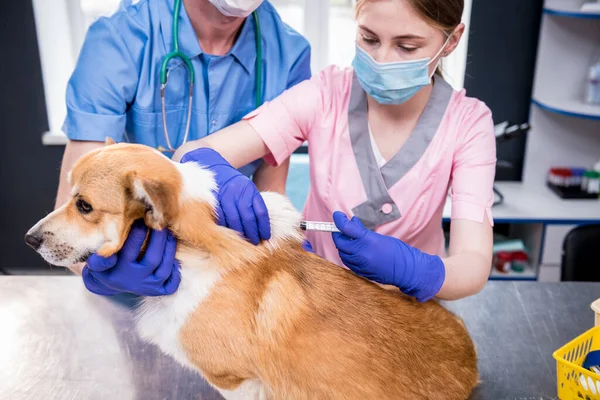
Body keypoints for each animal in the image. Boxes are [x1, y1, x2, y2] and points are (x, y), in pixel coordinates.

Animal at [25, 140, 478, 400]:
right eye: (70, 196)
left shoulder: (235, 380)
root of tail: (471, 370)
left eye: (84, 205)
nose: (29, 239)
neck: (190, 251)